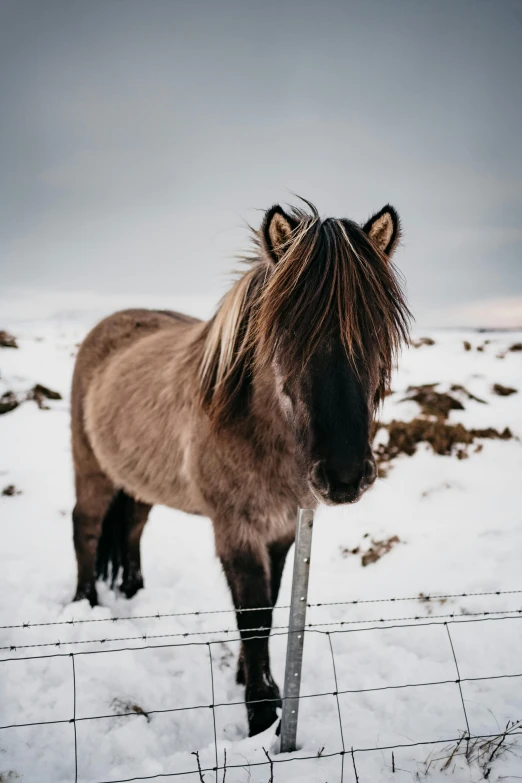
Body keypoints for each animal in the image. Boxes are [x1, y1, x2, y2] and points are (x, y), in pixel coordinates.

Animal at [70, 201, 410, 736]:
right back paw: (86, 605)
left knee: (133, 527)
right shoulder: (237, 528)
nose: (344, 476)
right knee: (84, 526)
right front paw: (261, 713)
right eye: (286, 331)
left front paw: (251, 678)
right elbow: (251, 613)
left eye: (376, 328)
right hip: (91, 467)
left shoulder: (282, 529)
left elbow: (269, 605)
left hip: (139, 482)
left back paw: (134, 590)